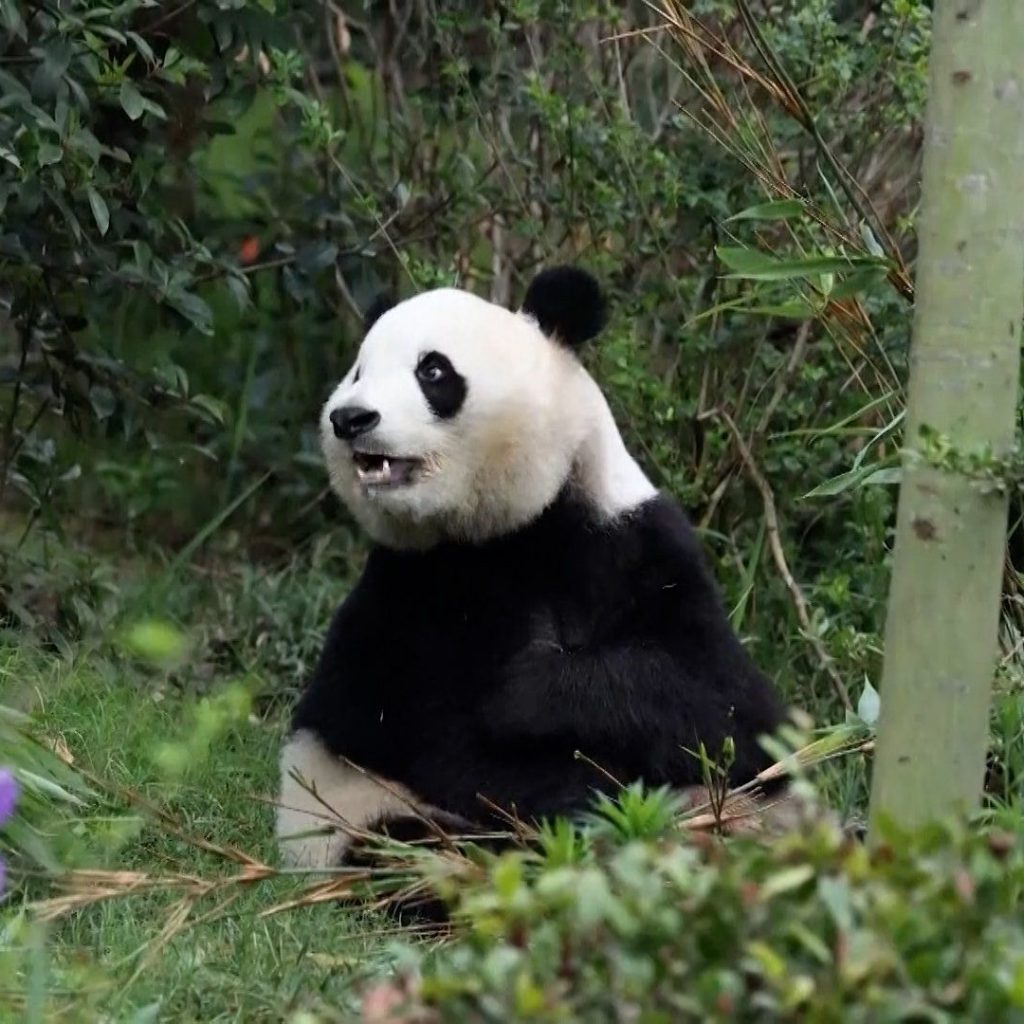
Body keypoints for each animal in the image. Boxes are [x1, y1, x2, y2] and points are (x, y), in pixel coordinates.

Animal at [276, 267, 789, 873]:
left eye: (432, 370)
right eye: (359, 370)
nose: (350, 418)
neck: (509, 532)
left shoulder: (631, 545)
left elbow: (730, 712)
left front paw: (529, 692)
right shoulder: (411, 595)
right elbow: (445, 748)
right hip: (352, 813)